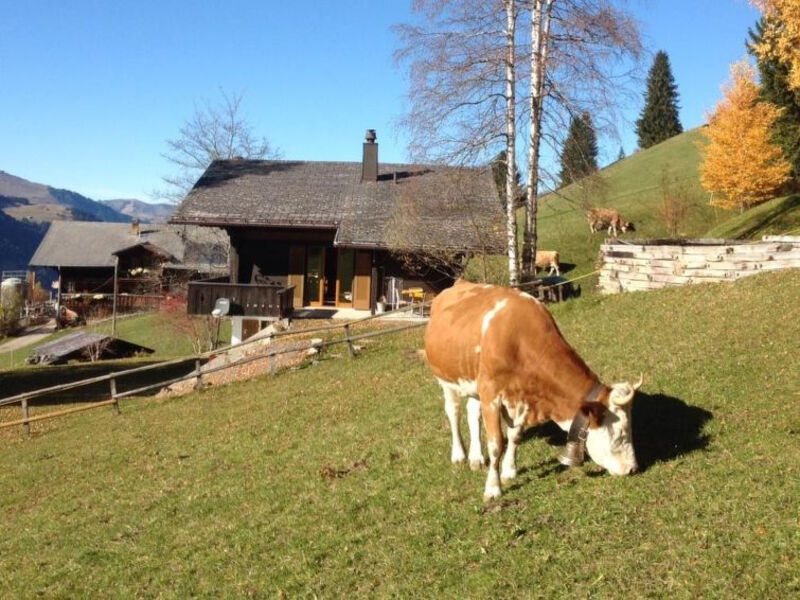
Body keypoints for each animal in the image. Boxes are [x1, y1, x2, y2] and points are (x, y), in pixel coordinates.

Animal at [424, 282, 644, 502]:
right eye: (621, 434)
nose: (633, 469)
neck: (519, 341)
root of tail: (458, 284)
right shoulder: (491, 394)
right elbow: (496, 444)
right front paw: (493, 488)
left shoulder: (523, 399)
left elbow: (514, 436)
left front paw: (509, 471)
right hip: (446, 379)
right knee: (453, 413)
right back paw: (459, 455)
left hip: (472, 382)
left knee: (472, 413)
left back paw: (476, 458)